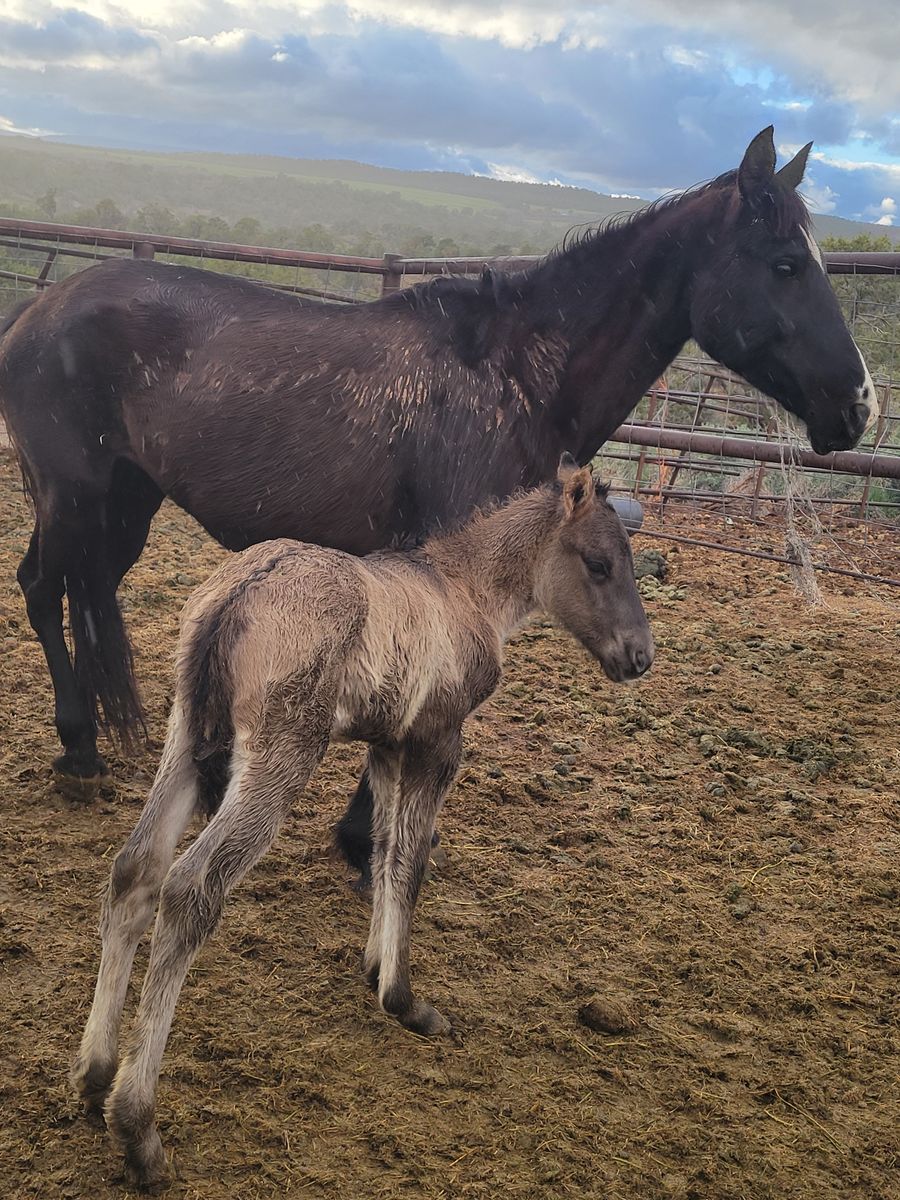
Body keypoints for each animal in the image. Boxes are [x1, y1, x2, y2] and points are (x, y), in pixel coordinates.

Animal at [0, 126, 876, 840]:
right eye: (786, 264)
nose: (859, 405)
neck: (514, 375)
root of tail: (39, 311)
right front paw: (363, 840)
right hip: (74, 498)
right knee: (44, 589)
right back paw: (79, 752)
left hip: (123, 505)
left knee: (69, 589)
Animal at [71, 455, 653, 1188]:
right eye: (600, 564)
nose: (640, 657)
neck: (465, 590)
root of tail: (236, 596)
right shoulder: (438, 744)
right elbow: (410, 862)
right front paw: (403, 999)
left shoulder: (387, 745)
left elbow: (380, 850)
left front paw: (375, 966)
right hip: (280, 755)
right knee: (190, 890)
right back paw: (138, 1128)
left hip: (182, 739)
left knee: (136, 869)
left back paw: (94, 1074)